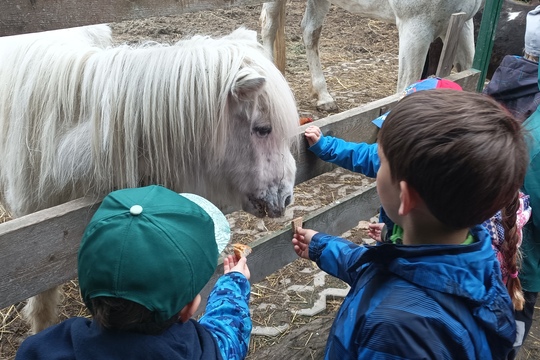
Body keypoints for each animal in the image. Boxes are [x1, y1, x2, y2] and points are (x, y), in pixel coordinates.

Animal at [260, 0, 484, 111]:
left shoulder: (462, 23)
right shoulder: (415, 27)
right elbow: (406, 87)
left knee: (310, 32)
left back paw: (324, 97)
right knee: (269, 25)